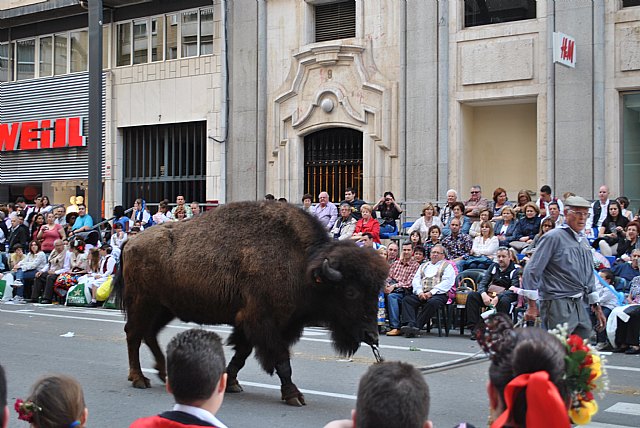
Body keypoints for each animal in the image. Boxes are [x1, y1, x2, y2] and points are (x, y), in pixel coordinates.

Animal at [112, 201, 388, 404]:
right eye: (351, 292)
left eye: (376, 292)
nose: (372, 335)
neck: (304, 264)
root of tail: (131, 241)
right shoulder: (264, 322)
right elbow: (281, 360)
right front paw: (294, 396)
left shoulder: (255, 323)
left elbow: (242, 354)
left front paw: (231, 383)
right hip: (143, 303)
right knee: (133, 334)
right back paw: (139, 379)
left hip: (164, 307)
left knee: (148, 333)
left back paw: (162, 372)